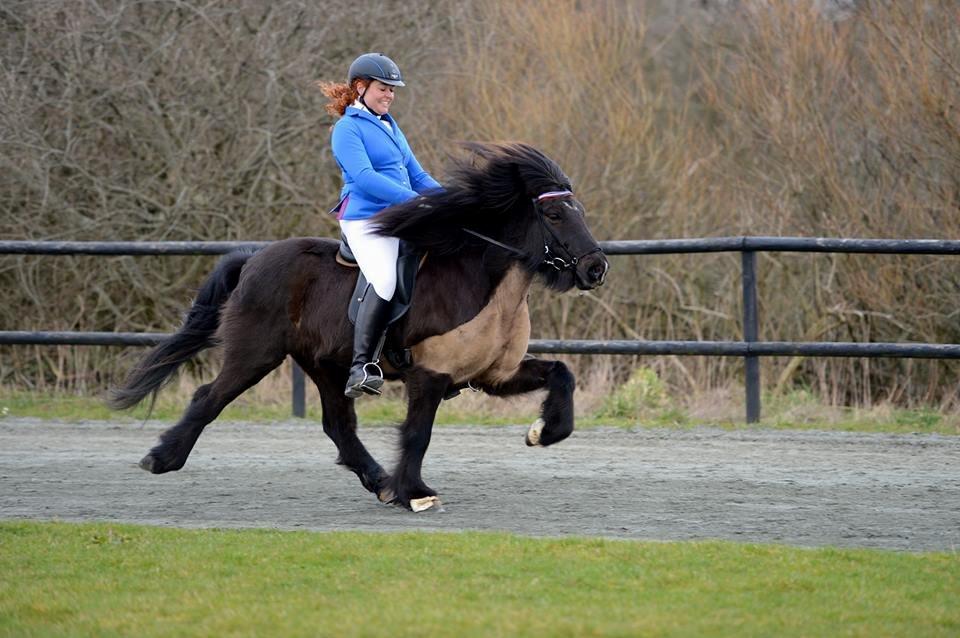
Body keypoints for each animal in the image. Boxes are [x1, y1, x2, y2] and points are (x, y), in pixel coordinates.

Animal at [109, 141, 608, 516]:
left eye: (581, 210)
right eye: (556, 216)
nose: (596, 268)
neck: (488, 285)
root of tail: (252, 259)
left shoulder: (493, 375)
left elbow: (562, 373)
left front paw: (544, 431)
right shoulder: (431, 375)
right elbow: (418, 434)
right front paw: (416, 494)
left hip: (325, 365)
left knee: (338, 425)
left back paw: (380, 481)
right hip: (256, 353)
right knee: (208, 398)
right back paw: (160, 458)